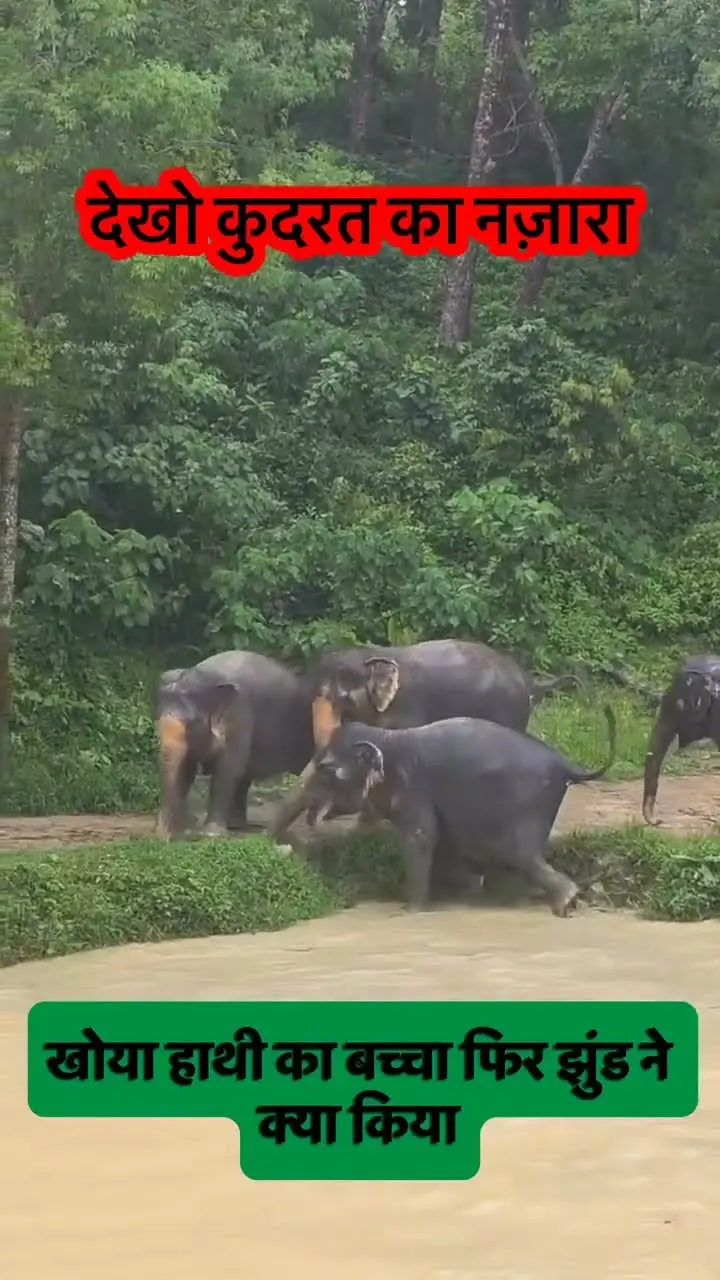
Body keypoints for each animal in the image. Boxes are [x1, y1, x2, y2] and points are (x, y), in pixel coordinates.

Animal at [154, 650, 314, 840]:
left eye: (190, 725)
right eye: (158, 721)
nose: (165, 836)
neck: (203, 677)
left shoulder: (241, 716)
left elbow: (227, 768)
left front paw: (211, 834)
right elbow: (187, 769)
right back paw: (236, 825)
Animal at [268, 638, 577, 843]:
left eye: (342, 698)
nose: (289, 840)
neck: (373, 654)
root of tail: (528, 679)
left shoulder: (409, 708)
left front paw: (362, 831)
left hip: (509, 710)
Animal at [280, 708, 616, 917]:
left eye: (326, 770)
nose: (294, 845)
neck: (388, 737)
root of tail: (566, 764)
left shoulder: (415, 789)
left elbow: (421, 839)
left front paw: (411, 912)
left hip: (528, 804)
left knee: (521, 854)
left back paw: (565, 902)